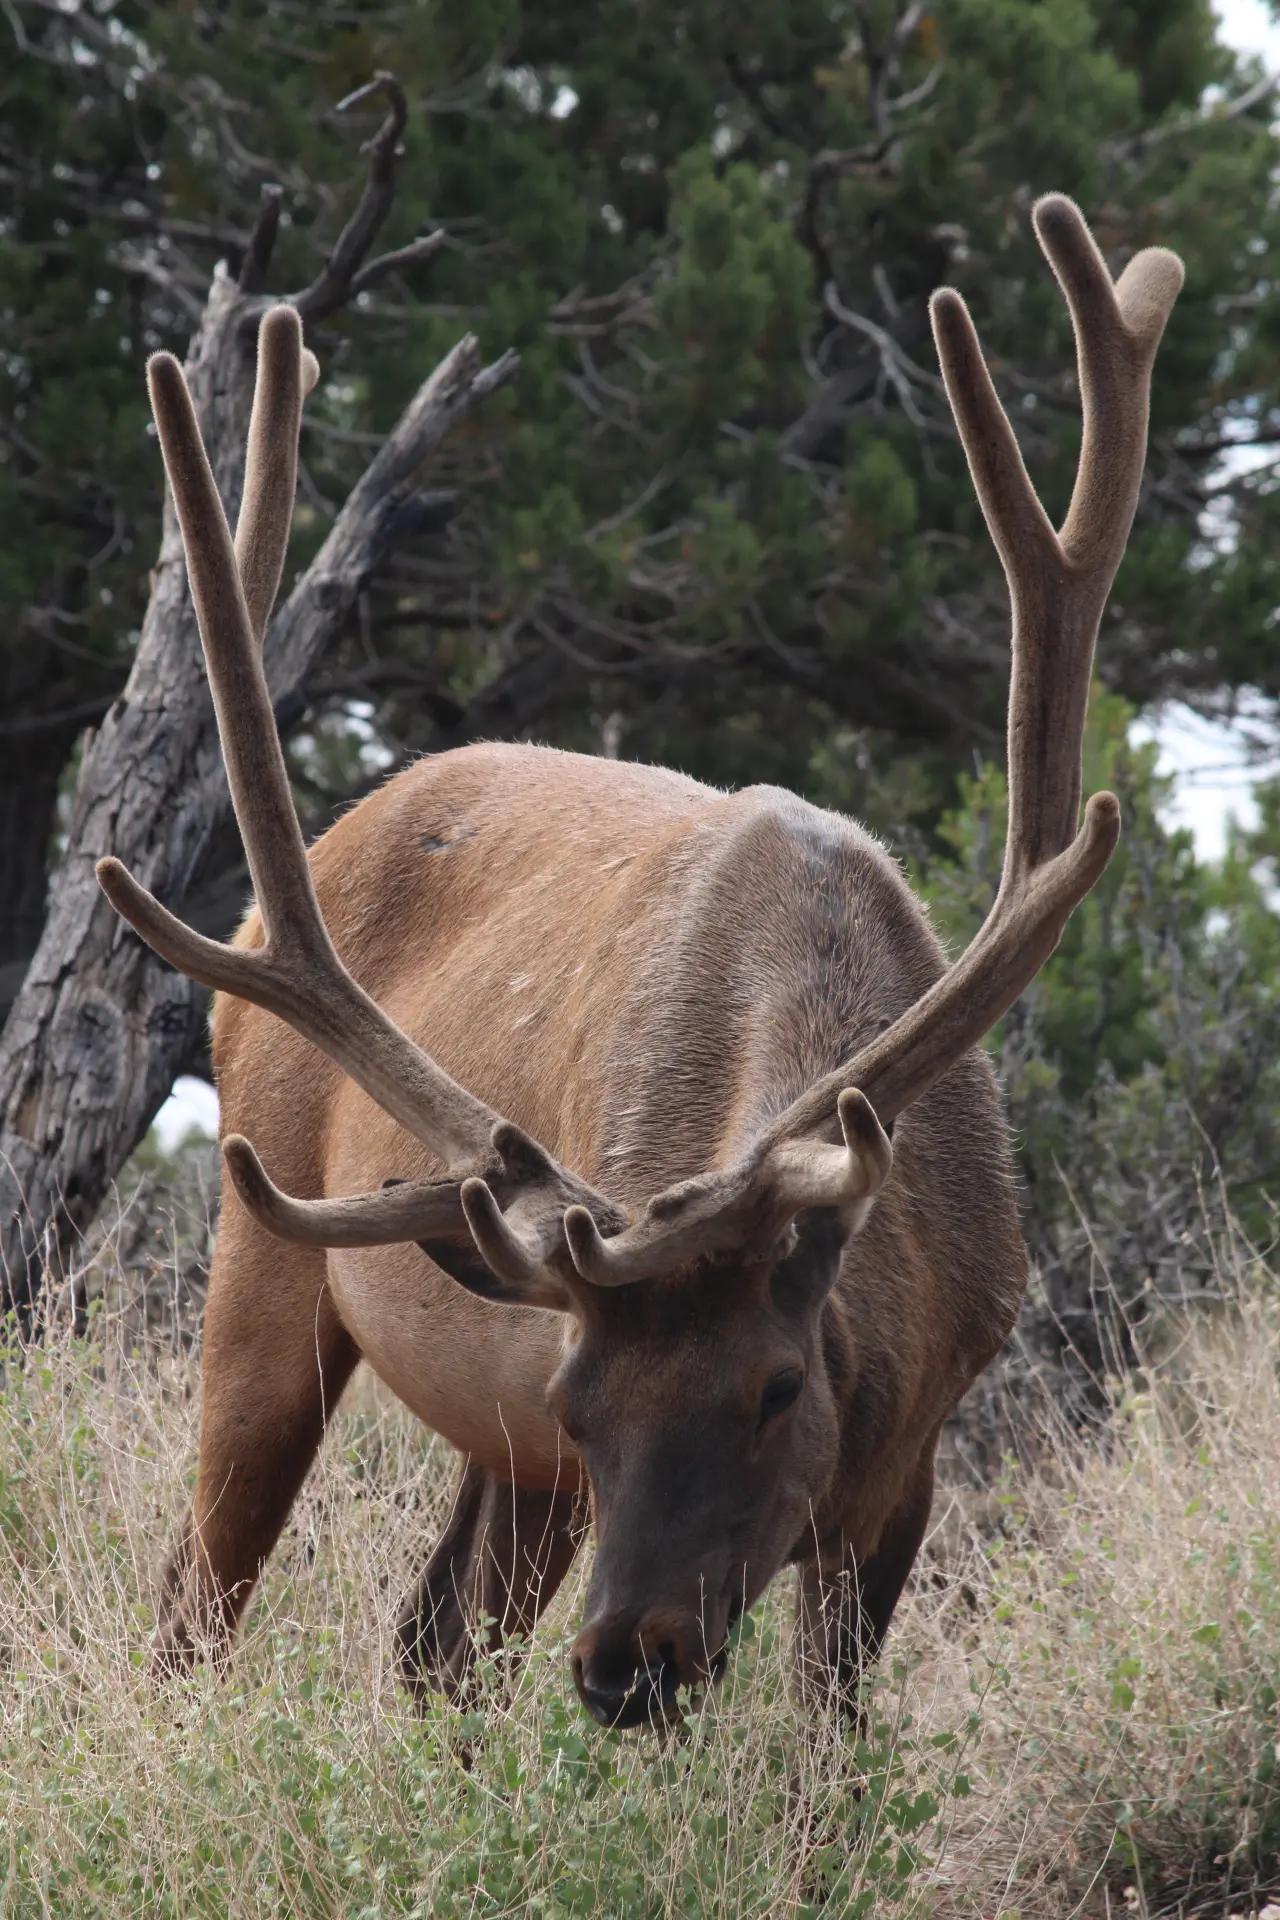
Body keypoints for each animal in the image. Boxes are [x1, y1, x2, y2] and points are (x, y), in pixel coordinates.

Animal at [97, 196, 1182, 1731]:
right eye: (586, 1402)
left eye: (778, 1388)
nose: (627, 1665)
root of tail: (260, 916)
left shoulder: (907, 1466)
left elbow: (826, 1742)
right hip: (267, 1259)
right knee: (200, 1602)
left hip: (491, 1450)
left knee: (431, 1643)